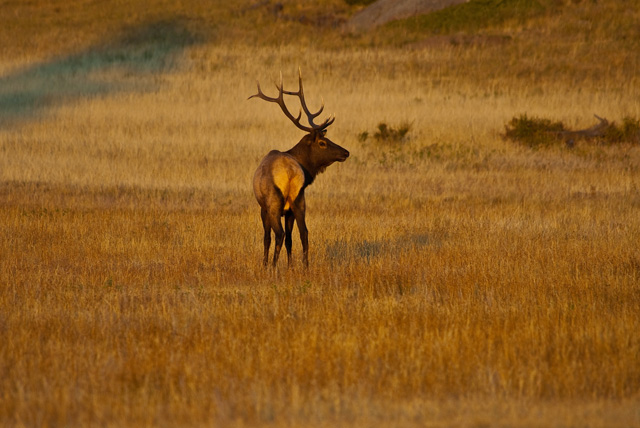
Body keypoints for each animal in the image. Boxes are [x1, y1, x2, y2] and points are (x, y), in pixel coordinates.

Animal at [250, 72, 350, 270]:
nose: (346, 152)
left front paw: (265, 265)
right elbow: (291, 239)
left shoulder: (263, 208)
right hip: (299, 200)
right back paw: (305, 267)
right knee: (303, 233)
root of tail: (289, 173)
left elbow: (267, 238)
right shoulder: (289, 208)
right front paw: (290, 266)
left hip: (274, 203)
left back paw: (274, 268)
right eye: (323, 142)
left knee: (279, 234)